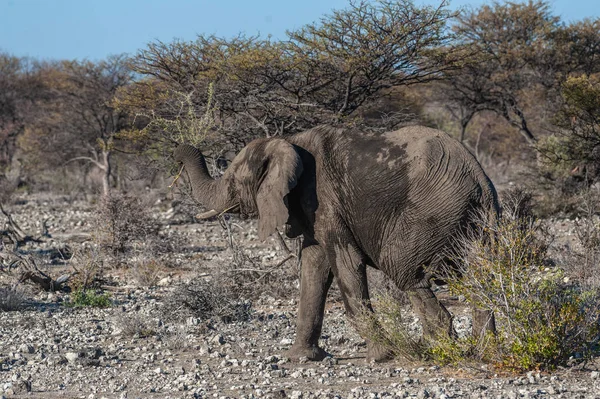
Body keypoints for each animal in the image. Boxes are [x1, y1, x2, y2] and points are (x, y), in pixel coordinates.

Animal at [175, 125, 502, 362]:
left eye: (232, 181)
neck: (288, 141)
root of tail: (480, 178)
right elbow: (314, 267)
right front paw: (300, 359)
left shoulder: (326, 200)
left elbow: (346, 266)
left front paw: (381, 357)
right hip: (477, 220)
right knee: (480, 279)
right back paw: (483, 351)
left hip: (429, 212)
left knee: (404, 271)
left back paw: (436, 348)